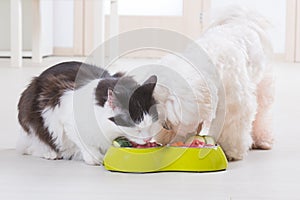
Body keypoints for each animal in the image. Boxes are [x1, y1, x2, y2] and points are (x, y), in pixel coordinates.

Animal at [17, 61, 162, 165]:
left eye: (151, 124)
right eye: (136, 129)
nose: (148, 139)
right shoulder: (66, 119)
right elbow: (84, 143)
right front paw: (96, 158)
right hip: (29, 115)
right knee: (34, 144)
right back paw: (50, 153)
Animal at [154, 7, 276, 161]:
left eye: (174, 115)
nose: (166, 126)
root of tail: (242, 19)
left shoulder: (236, 106)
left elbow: (232, 129)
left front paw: (230, 151)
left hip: (263, 85)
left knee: (262, 113)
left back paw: (262, 139)